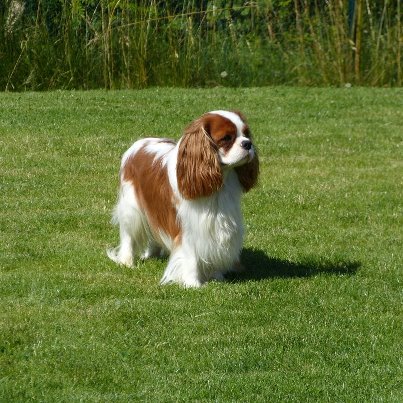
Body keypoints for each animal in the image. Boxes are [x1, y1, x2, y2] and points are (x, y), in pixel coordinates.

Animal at [107, 110, 259, 287]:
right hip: (131, 208)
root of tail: (140, 142)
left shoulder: (218, 224)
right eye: (227, 138)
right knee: (128, 235)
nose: (248, 144)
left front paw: (215, 276)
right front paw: (193, 284)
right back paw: (127, 261)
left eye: (246, 134)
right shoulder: (188, 227)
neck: (220, 183)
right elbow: (191, 256)